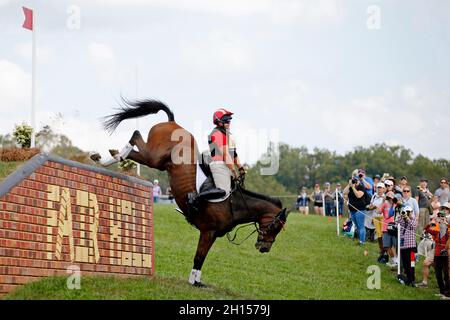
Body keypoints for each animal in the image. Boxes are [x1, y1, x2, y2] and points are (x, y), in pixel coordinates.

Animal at [92, 99, 288, 286]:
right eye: (276, 227)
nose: (264, 248)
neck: (236, 203)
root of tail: (172, 122)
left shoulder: (213, 234)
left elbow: (202, 259)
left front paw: (197, 281)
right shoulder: (208, 231)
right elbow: (199, 257)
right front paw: (193, 282)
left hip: (158, 161)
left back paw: (105, 157)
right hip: (155, 158)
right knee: (136, 136)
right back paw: (111, 156)